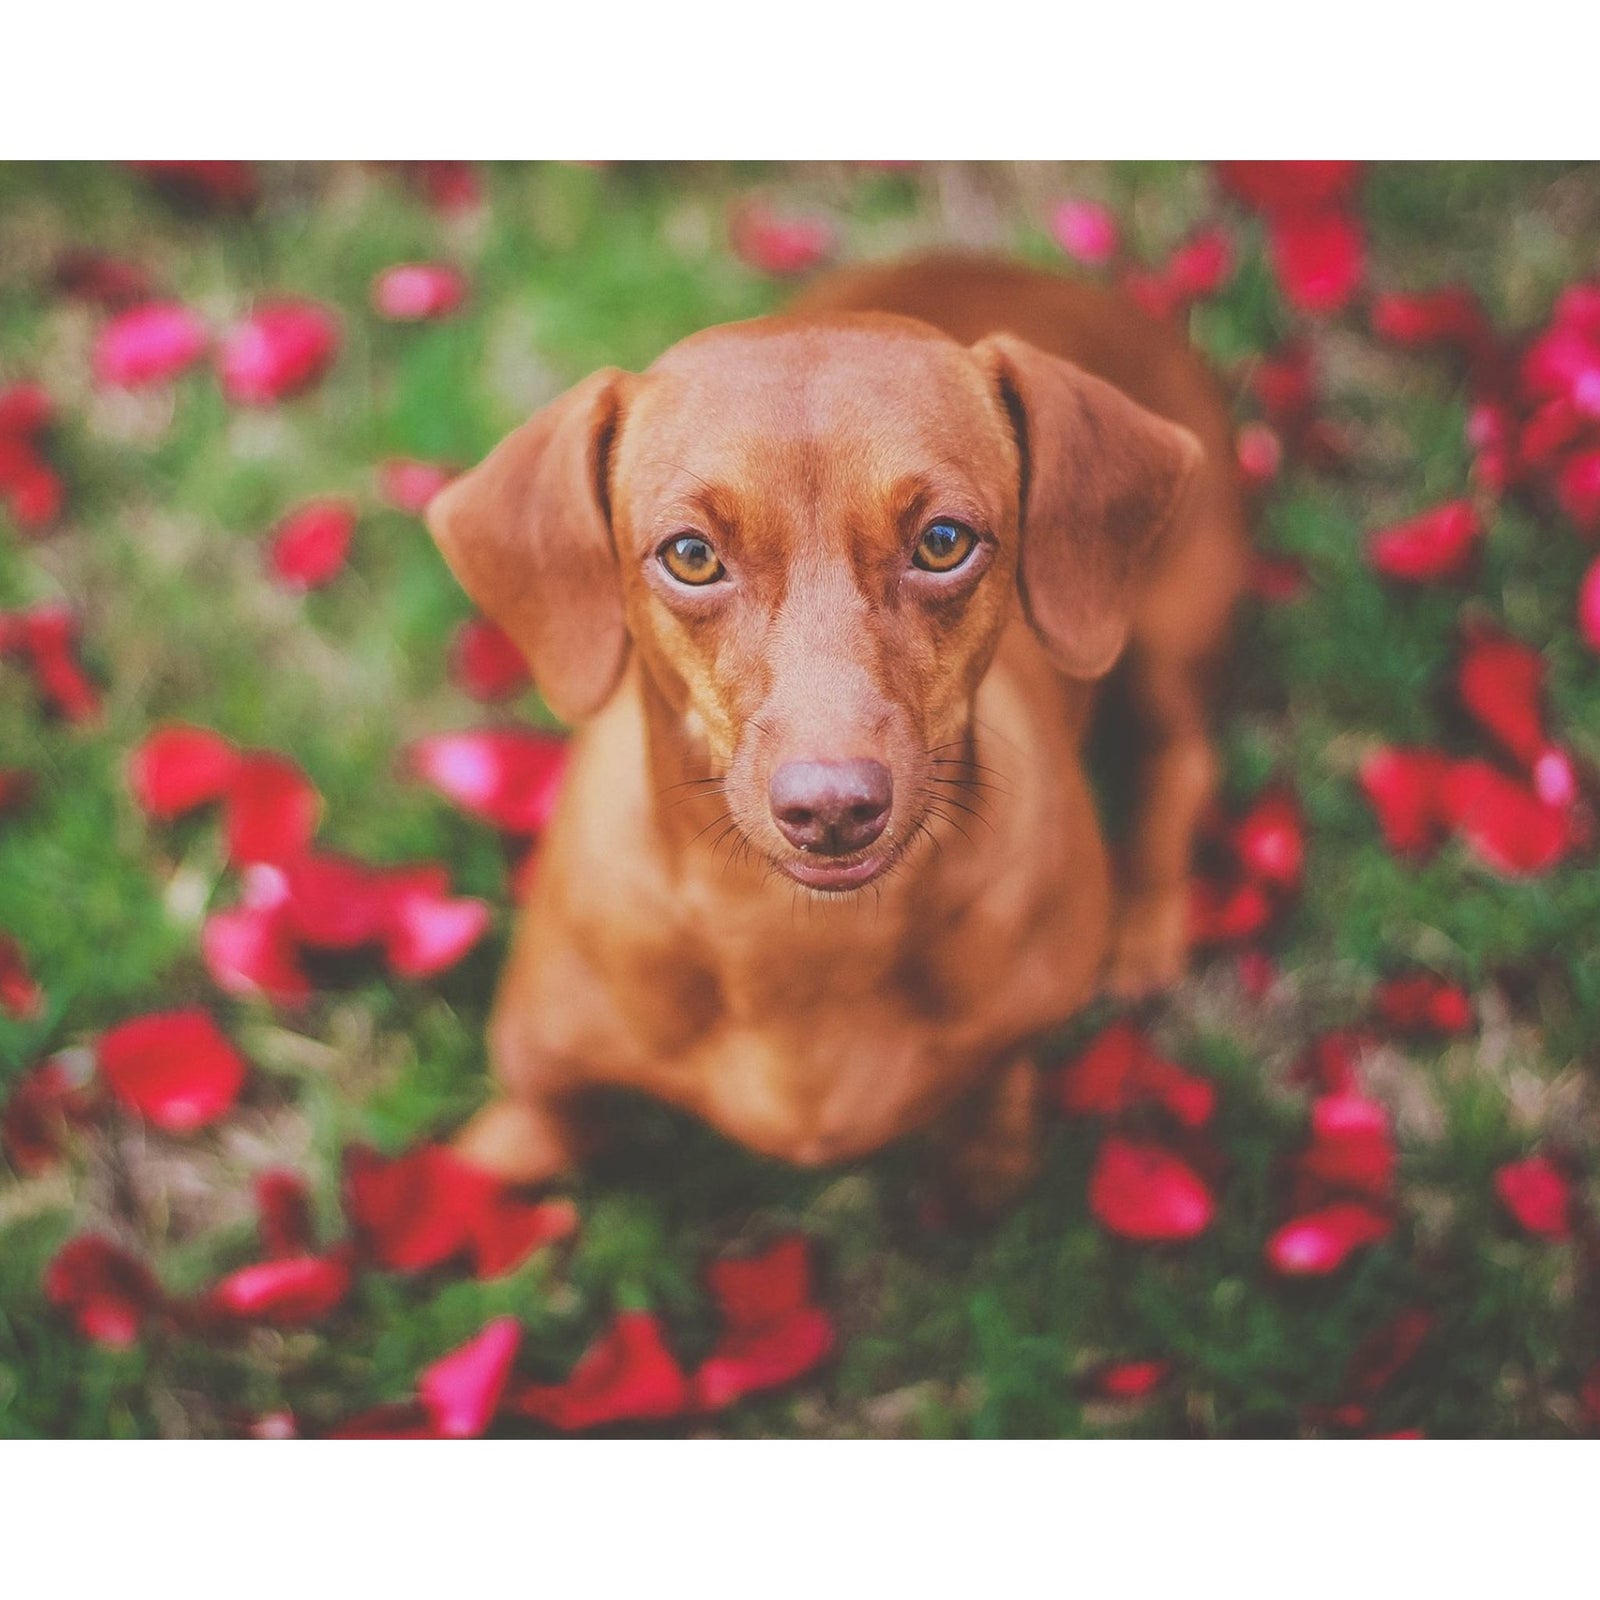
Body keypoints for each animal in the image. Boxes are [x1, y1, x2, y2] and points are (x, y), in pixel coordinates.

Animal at [428, 252, 1248, 1209]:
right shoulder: (542, 1057)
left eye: (943, 540)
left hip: (1169, 633)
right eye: (691, 555)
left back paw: (1148, 919)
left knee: (1181, 760)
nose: (832, 809)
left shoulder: (1019, 1029)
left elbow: (999, 1090)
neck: (798, 944)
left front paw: (986, 1156)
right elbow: (547, 1121)